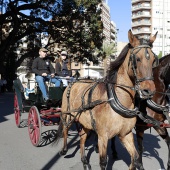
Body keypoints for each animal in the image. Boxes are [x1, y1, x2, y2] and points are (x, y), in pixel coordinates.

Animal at [54, 30, 158, 170]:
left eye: (153, 60)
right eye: (137, 59)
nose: (149, 91)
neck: (117, 99)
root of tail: (74, 81)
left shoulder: (125, 134)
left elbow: (135, 158)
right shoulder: (103, 136)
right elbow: (103, 162)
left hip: (85, 122)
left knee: (82, 137)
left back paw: (84, 161)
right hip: (68, 114)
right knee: (65, 128)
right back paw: (64, 149)